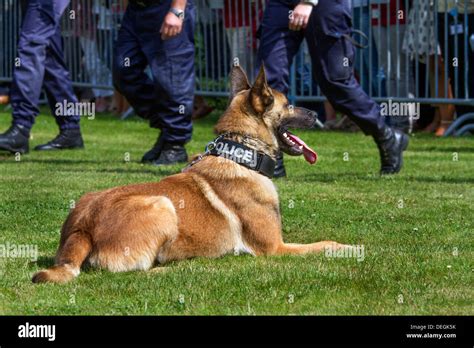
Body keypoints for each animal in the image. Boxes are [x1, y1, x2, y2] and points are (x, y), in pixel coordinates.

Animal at [31, 65, 350, 282]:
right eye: (289, 105)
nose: (316, 114)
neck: (241, 152)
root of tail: (82, 227)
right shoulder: (275, 248)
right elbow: (325, 244)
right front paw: (348, 246)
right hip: (162, 204)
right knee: (139, 272)